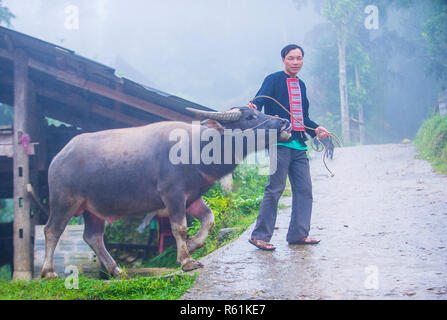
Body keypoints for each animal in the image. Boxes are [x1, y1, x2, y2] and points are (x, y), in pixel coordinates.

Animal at [42, 107, 292, 278]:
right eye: (249, 117)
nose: (284, 122)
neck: (196, 148)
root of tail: (58, 156)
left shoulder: (192, 197)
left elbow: (209, 219)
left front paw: (192, 245)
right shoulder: (173, 195)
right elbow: (179, 228)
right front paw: (187, 261)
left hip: (93, 209)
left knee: (93, 236)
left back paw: (117, 271)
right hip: (64, 202)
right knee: (52, 230)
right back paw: (49, 272)